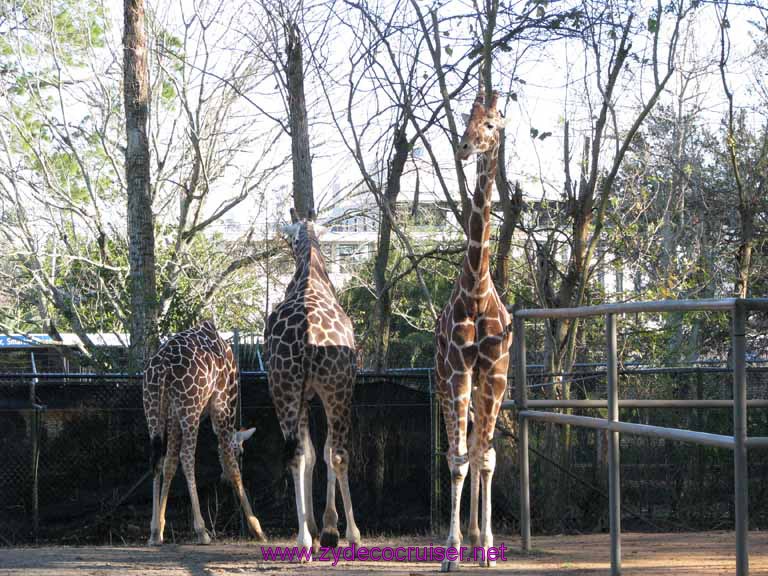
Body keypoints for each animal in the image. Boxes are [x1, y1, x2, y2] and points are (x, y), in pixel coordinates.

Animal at [142, 322, 266, 548]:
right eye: (241, 453)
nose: (223, 480)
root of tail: (162, 366)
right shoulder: (223, 406)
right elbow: (232, 464)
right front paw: (258, 529)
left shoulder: (173, 415)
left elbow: (169, 463)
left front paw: (159, 529)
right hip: (190, 408)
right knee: (187, 457)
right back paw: (202, 531)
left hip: (154, 408)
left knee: (157, 459)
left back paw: (154, 533)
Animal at [266, 208, 362, 560]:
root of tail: (307, 332)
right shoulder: (330, 390)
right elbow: (325, 451)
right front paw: (330, 528)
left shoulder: (305, 394)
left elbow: (309, 453)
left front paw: (318, 529)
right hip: (337, 389)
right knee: (338, 452)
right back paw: (350, 535)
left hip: (283, 386)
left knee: (295, 454)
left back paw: (304, 541)